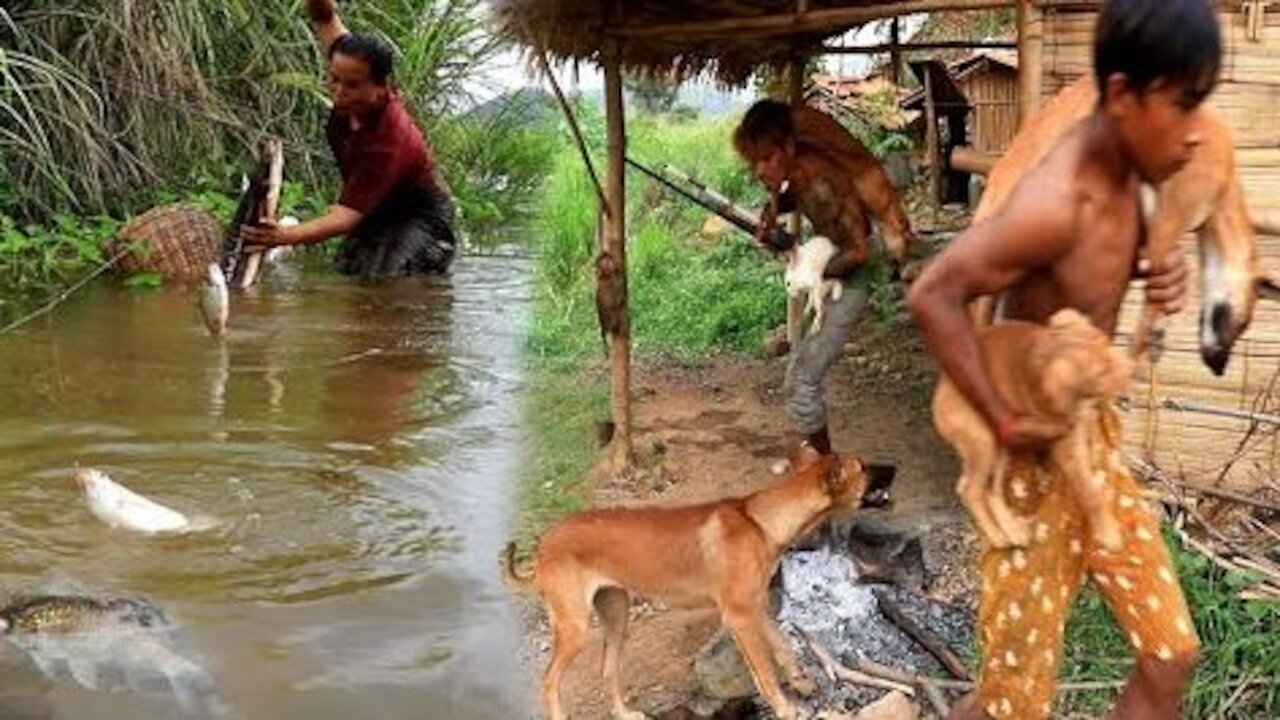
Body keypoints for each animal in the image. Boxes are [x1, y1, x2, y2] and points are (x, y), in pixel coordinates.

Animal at [504, 448, 875, 717]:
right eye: (863, 467)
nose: (887, 468)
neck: (760, 521)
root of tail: (544, 542)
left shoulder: (756, 607)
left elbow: (782, 647)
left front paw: (800, 684)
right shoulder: (740, 617)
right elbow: (766, 672)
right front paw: (786, 708)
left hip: (617, 616)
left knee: (607, 670)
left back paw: (624, 713)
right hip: (575, 628)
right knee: (549, 682)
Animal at [931, 308, 1131, 548]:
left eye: (1105, 342)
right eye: (1101, 371)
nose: (1132, 368)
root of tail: (937, 400)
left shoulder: (1081, 422)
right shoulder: (1067, 443)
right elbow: (1090, 493)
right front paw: (1108, 532)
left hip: (1001, 444)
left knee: (986, 489)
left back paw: (1012, 529)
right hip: (984, 441)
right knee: (970, 490)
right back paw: (997, 536)